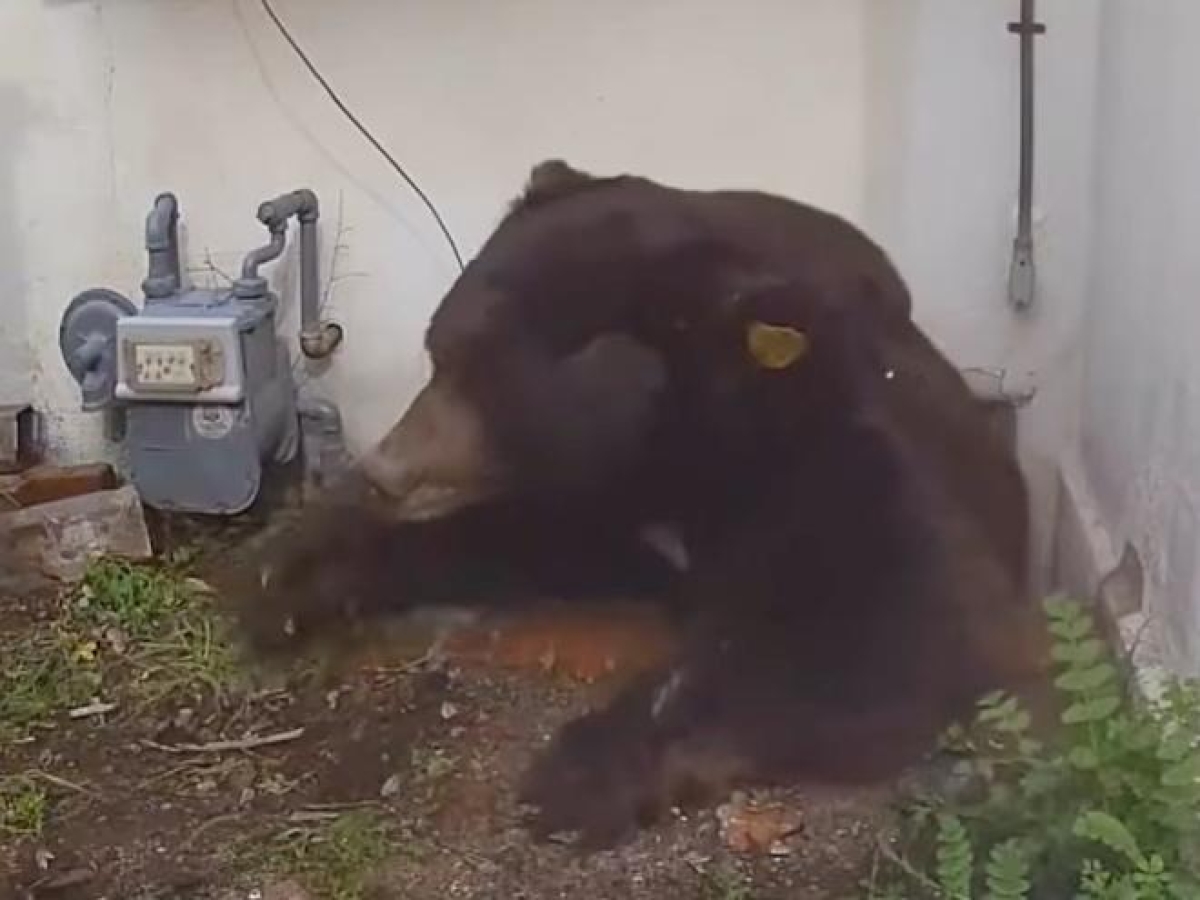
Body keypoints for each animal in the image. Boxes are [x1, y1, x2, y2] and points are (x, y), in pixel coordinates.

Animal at [232, 160, 1048, 849]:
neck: (676, 453)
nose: (386, 468)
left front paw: (576, 775)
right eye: (441, 354)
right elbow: (520, 538)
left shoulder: (852, 478)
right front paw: (292, 579)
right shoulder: (607, 502)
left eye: (487, 378)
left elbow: (884, 636)